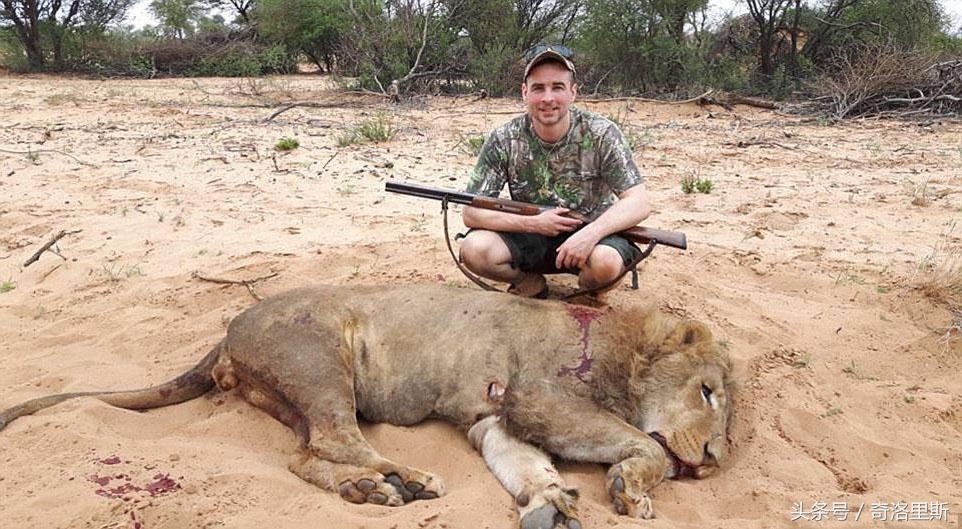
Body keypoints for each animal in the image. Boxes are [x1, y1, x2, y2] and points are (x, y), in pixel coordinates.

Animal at [1, 286, 736, 524]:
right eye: (708, 392)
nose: (715, 458)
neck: (613, 344)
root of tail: (228, 331)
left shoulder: (492, 417)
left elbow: (525, 466)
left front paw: (550, 500)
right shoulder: (536, 396)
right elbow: (640, 445)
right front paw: (631, 486)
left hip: (299, 393)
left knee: (304, 457)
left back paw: (372, 491)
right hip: (323, 358)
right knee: (333, 441)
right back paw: (406, 480)